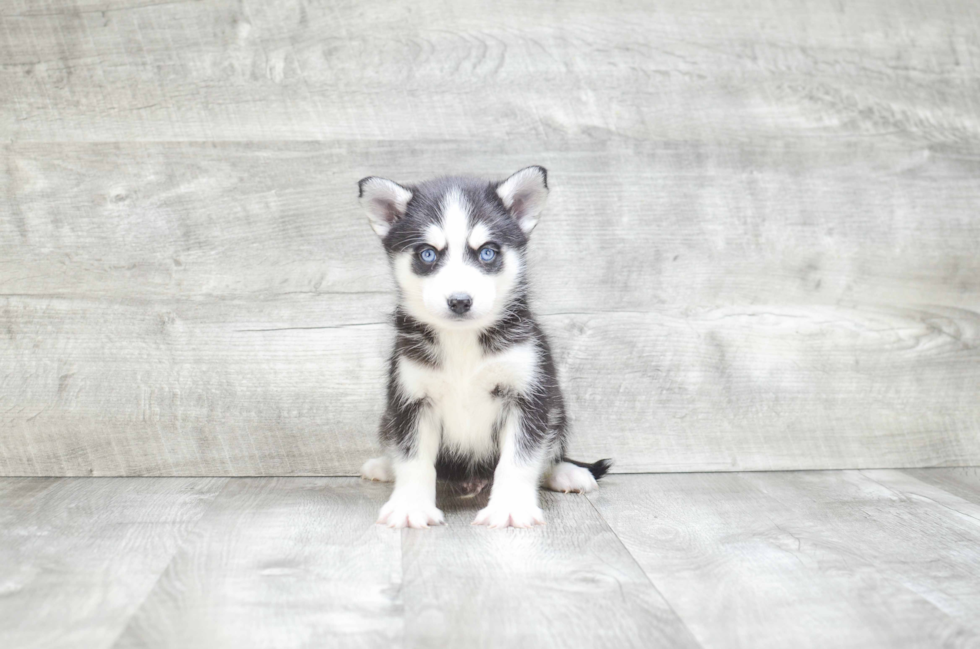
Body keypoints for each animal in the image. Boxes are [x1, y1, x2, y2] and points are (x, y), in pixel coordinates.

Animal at [356, 166, 608, 528]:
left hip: (556, 409)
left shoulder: (528, 397)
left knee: (549, 451)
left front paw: (512, 506)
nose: (460, 301)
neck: (462, 342)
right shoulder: (411, 400)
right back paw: (383, 466)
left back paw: (566, 472)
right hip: (388, 418)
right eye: (427, 253)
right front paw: (410, 505)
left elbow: (520, 459)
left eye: (487, 252)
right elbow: (413, 458)